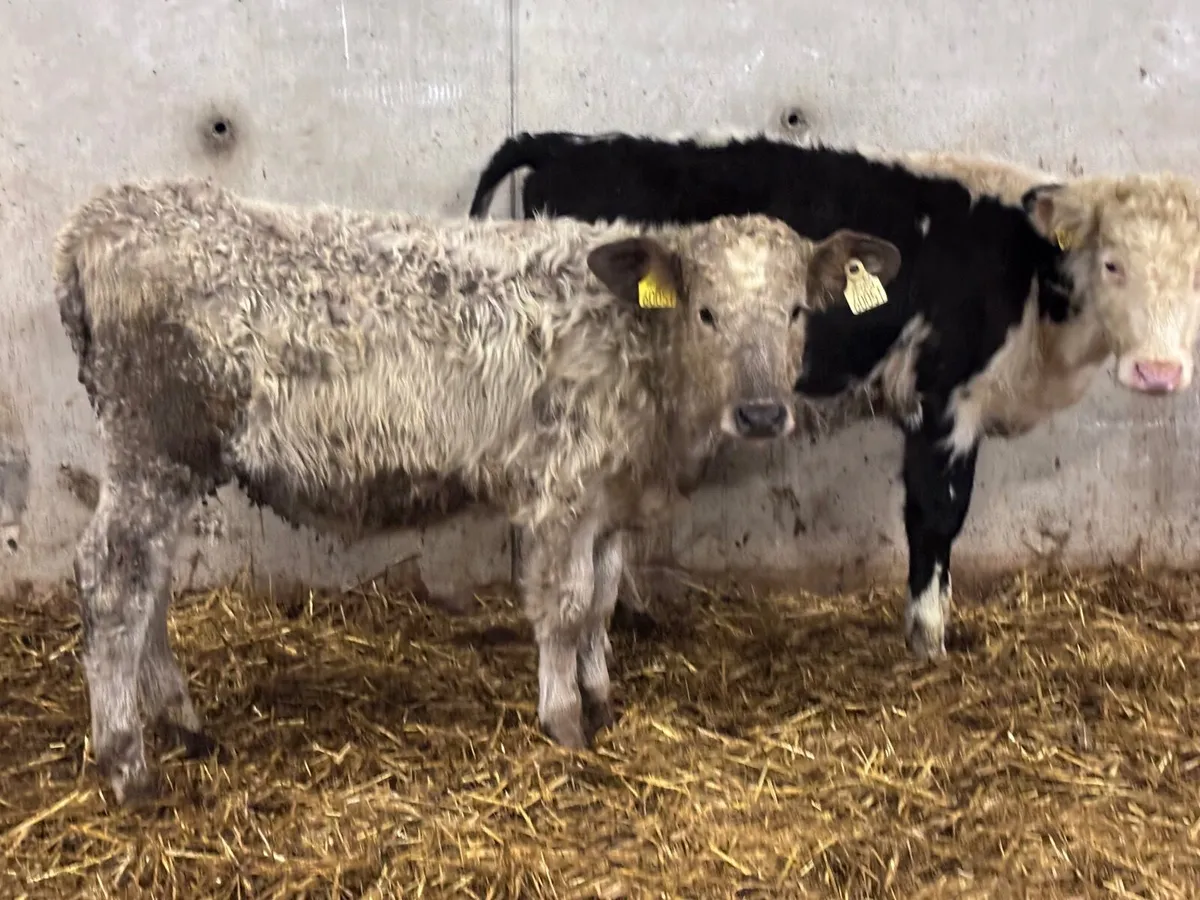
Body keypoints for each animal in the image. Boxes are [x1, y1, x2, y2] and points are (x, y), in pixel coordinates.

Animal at [53, 176, 902, 803]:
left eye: (795, 311)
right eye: (707, 311)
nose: (761, 413)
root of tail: (99, 216)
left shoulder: (612, 502)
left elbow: (603, 599)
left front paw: (601, 697)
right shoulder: (560, 488)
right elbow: (563, 605)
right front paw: (565, 721)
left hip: (167, 463)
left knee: (151, 582)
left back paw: (182, 721)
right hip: (154, 444)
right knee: (112, 578)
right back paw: (128, 763)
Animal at [467, 129, 1200, 662]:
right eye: (1113, 263)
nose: (1159, 372)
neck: (1023, 273)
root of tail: (567, 143)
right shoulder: (944, 402)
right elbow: (937, 519)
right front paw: (928, 642)